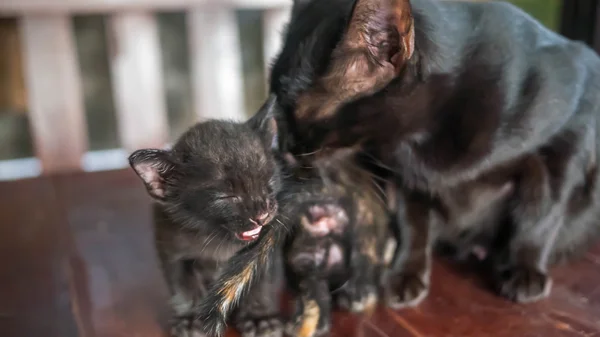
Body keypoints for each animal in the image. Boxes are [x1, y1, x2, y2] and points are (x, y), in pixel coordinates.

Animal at [127, 97, 286, 336]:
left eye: (268, 183)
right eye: (227, 196)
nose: (262, 214)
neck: (217, 240)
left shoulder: (264, 249)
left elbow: (259, 283)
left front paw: (260, 318)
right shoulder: (172, 251)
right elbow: (184, 286)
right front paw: (191, 320)